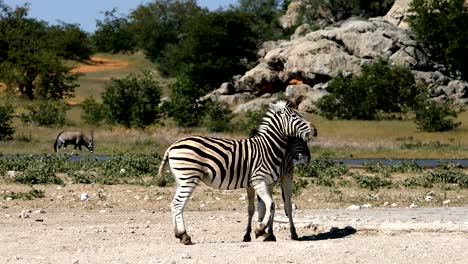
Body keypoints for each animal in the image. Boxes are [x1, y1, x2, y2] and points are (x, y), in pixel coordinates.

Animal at [156, 100, 314, 244]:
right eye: (295, 116)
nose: (314, 130)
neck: (269, 147)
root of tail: (171, 146)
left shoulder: (264, 183)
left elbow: (262, 207)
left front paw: (263, 233)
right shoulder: (259, 180)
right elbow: (271, 205)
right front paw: (260, 230)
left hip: (181, 180)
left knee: (174, 204)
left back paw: (178, 234)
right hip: (189, 177)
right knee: (177, 204)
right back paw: (184, 236)